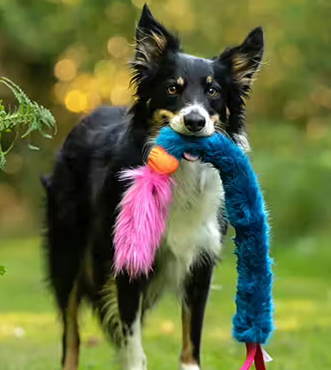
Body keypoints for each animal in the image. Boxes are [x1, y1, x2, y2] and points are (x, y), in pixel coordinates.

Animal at [41, 3, 264, 370]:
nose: (195, 121)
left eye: (213, 91)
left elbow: (190, 341)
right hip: (67, 254)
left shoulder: (200, 265)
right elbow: (133, 344)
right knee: (71, 334)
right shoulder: (129, 264)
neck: (181, 175)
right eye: (173, 88)